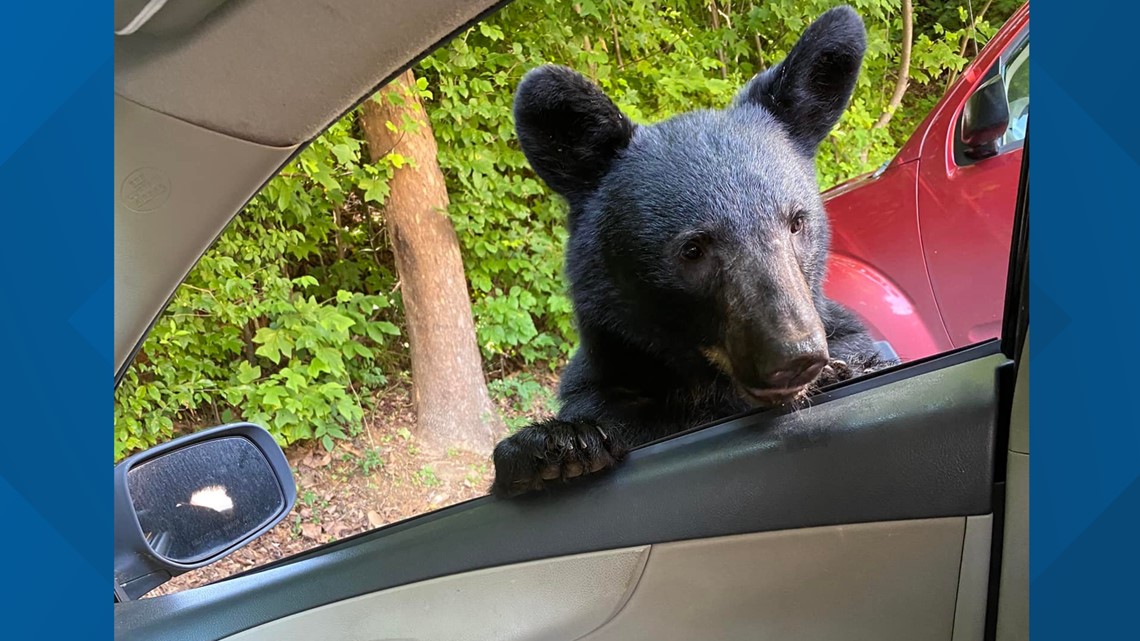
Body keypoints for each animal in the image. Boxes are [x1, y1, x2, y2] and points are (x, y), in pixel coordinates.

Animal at [491, 5, 894, 498]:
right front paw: (554, 446)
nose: (794, 356)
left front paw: (849, 368)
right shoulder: (608, 388)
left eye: (797, 222)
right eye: (693, 249)